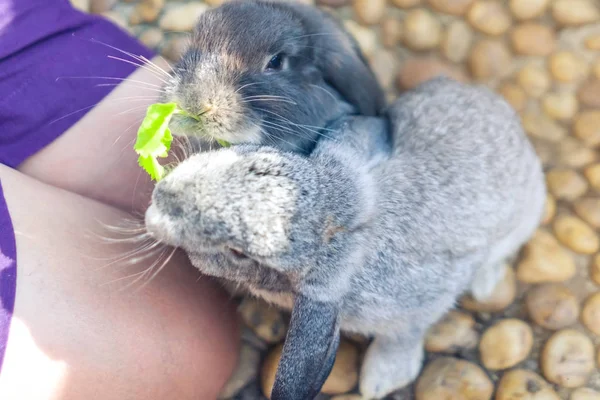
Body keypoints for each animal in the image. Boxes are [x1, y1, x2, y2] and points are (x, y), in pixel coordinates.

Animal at [144, 76, 544, 400]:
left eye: (238, 253)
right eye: (257, 162)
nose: (159, 201)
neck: (337, 220)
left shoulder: (417, 308)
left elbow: (402, 338)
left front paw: (379, 382)